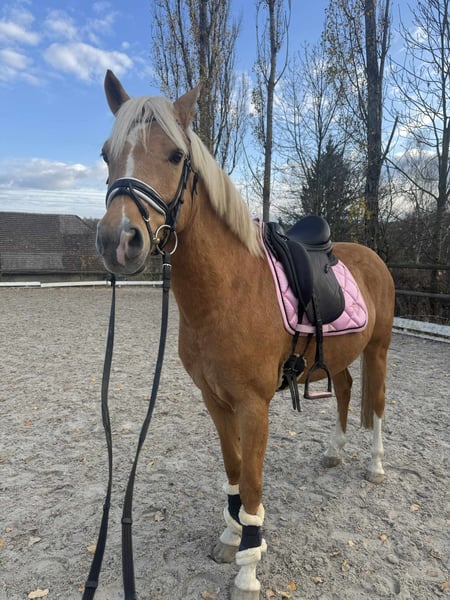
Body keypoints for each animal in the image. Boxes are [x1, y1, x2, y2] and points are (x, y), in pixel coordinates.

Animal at [95, 70, 395, 599]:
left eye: (175, 156)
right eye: (106, 154)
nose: (119, 241)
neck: (227, 292)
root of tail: (369, 255)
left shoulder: (255, 406)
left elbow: (253, 482)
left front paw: (248, 569)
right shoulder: (216, 400)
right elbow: (233, 470)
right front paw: (231, 536)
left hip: (378, 350)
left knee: (375, 404)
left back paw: (374, 466)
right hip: (341, 358)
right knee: (344, 390)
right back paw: (334, 452)